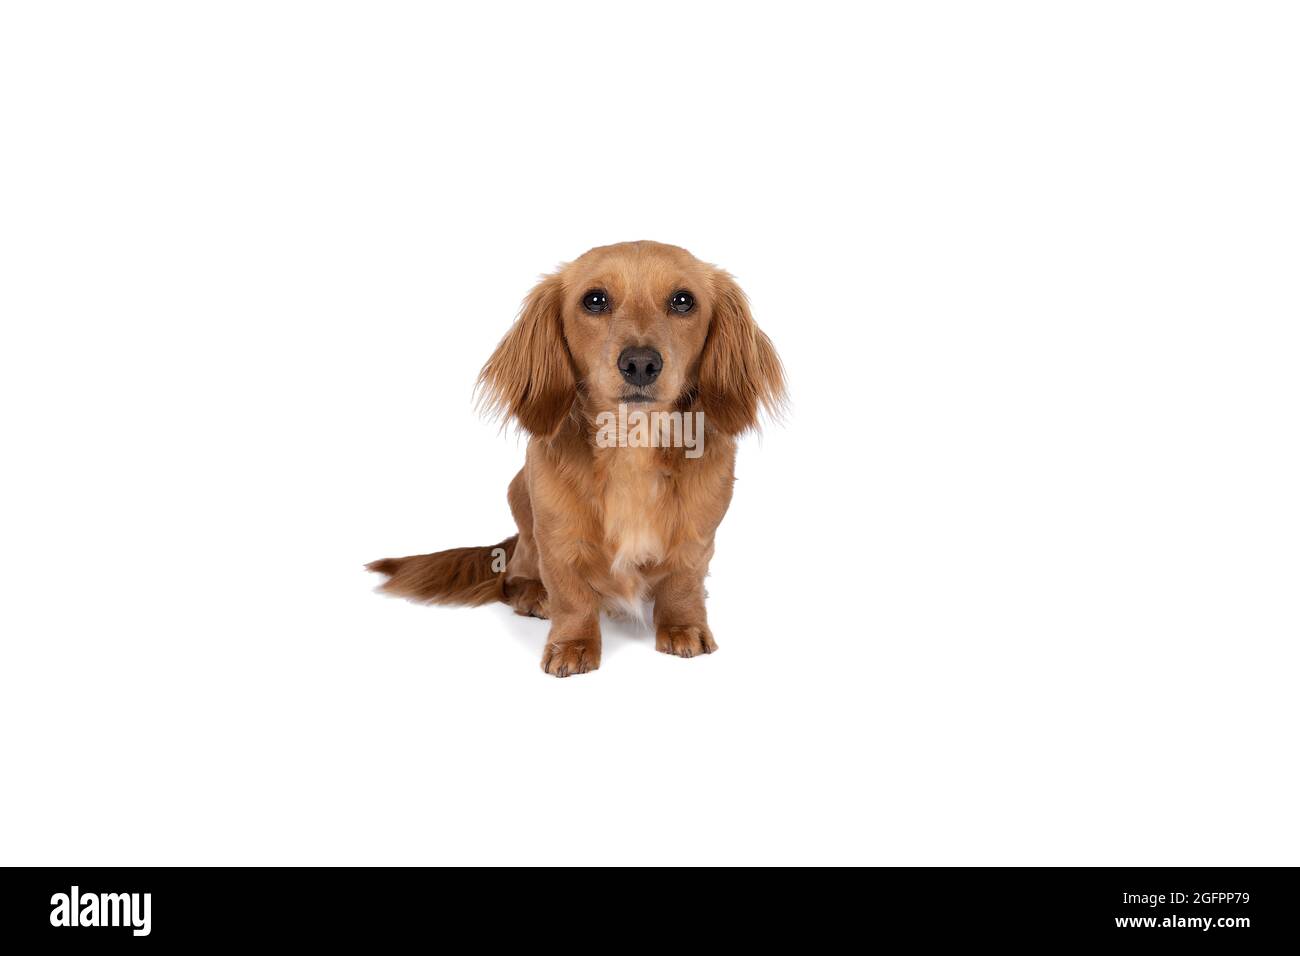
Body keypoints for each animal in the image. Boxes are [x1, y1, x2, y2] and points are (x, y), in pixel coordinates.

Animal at [371, 240, 785, 671]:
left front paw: (682, 626)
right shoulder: (557, 538)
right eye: (595, 300)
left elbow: (683, 583)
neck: (630, 443)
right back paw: (534, 595)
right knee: (513, 578)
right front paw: (572, 644)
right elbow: (572, 595)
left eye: (683, 300)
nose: (640, 363)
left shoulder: (698, 536)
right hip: (522, 506)